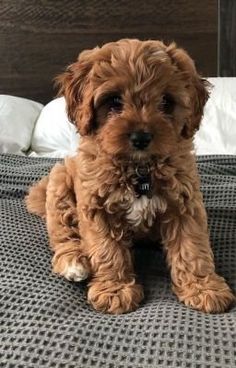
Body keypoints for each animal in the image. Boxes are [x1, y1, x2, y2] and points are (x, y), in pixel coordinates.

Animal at [25, 38, 234, 314]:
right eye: (114, 101)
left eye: (166, 102)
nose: (141, 137)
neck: (139, 168)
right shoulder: (96, 207)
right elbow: (106, 250)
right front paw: (115, 290)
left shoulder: (185, 204)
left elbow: (192, 247)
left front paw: (204, 288)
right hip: (60, 184)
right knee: (63, 233)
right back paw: (74, 262)